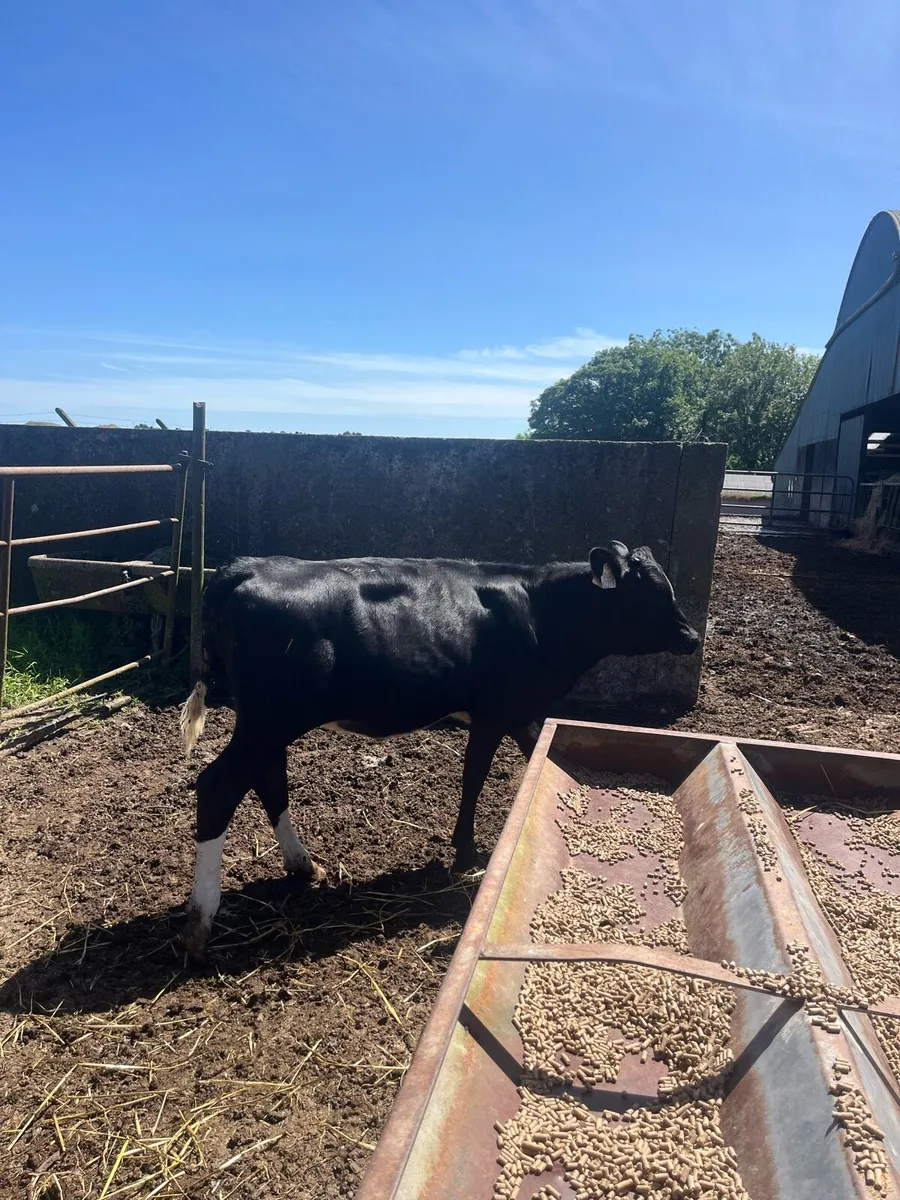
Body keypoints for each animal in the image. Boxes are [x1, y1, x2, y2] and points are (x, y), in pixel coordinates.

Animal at [178, 541, 699, 955]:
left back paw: (303, 866)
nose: (692, 637)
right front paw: (468, 853)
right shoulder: (495, 712)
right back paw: (201, 922)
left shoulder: (518, 714)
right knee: (219, 786)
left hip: (267, 723)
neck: (539, 609)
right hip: (271, 719)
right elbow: (474, 777)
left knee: (267, 778)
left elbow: (534, 754)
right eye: (651, 593)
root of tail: (245, 566)